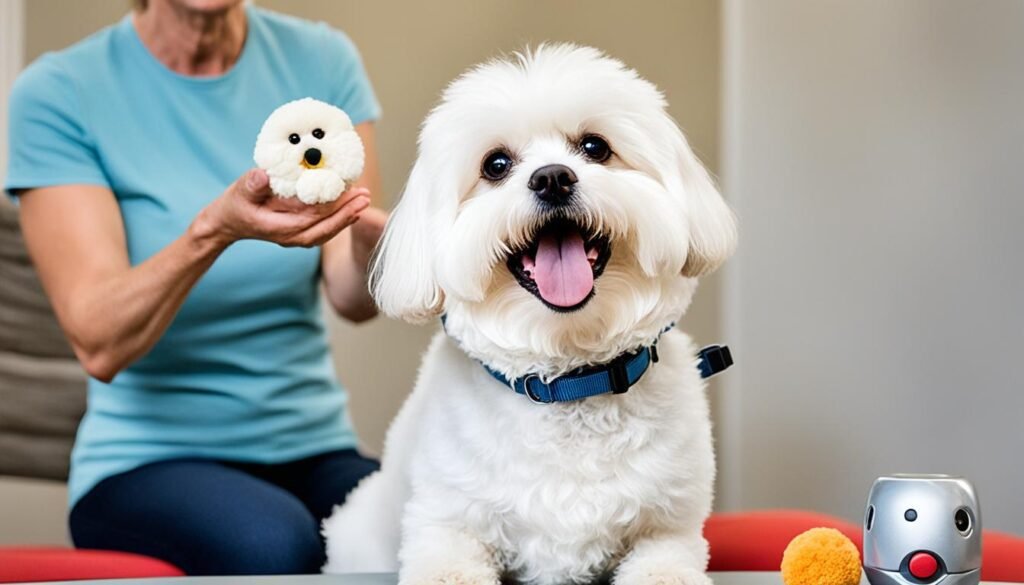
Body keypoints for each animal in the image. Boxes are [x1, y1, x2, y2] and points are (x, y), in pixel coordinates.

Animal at [323, 45, 733, 585]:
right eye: (496, 164)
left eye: (595, 147)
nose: (552, 177)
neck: (569, 384)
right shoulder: (446, 525)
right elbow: (448, 561)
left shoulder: (670, 527)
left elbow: (667, 562)